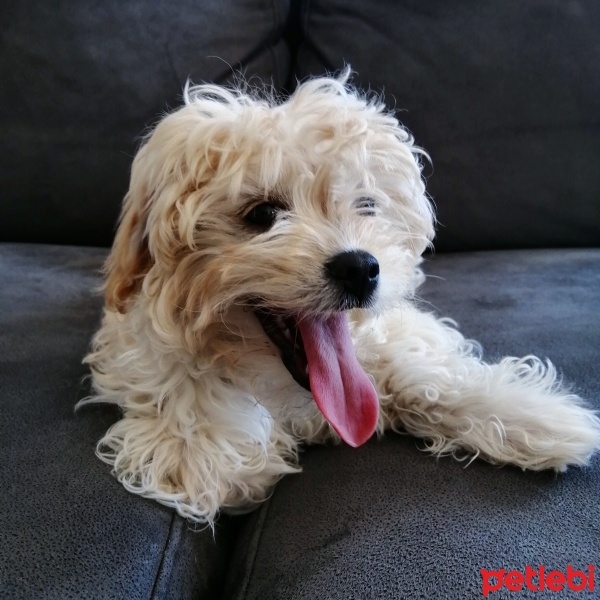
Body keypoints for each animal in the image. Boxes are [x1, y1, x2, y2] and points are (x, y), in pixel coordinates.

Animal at [82, 71, 600, 524]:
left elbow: (426, 371)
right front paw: (205, 443)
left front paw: (534, 415)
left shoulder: (389, 333)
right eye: (262, 214)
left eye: (365, 205)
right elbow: (196, 427)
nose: (360, 268)